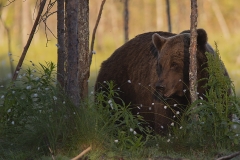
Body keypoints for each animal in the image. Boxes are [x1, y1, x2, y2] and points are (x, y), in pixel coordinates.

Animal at [94, 29, 227, 135]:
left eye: (174, 64)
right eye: (160, 64)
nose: (160, 86)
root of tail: (106, 60)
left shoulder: (214, 89)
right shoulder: (167, 98)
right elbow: (165, 119)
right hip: (117, 86)